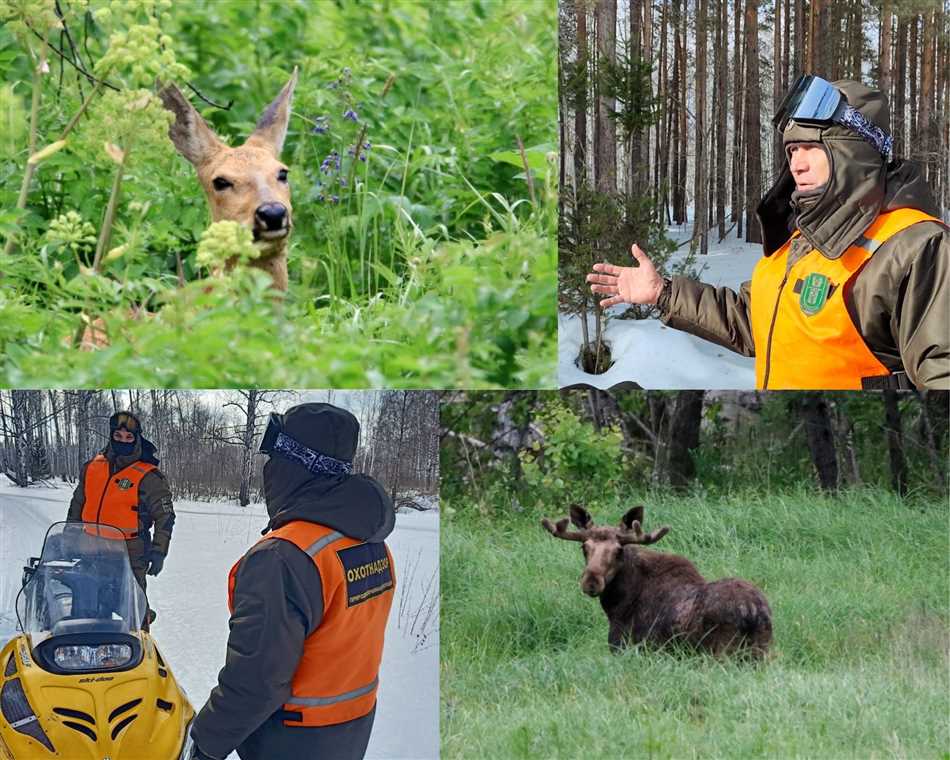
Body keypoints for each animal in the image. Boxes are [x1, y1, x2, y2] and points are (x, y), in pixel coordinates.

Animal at [544, 504, 772, 660]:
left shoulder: (627, 647)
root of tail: (753, 611)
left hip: (722, 653)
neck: (617, 606)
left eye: (618, 550)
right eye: (584, 547)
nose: (591, 582)